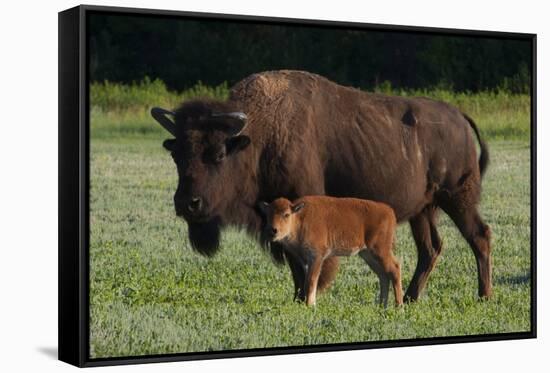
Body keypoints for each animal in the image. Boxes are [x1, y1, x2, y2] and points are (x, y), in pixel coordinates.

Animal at [260, 196, 404, 306]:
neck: (299, 219)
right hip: (367, 255)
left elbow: (312, 281)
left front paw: (310, 305)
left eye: (286, 214)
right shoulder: (305, 261)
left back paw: (399, 307)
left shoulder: (317, 257)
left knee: (394, 269)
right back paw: (382, 306)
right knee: (383, 275)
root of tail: (389, 211)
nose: (273, 230)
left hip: (380, 250)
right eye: (268, 214)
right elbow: (306, 282)